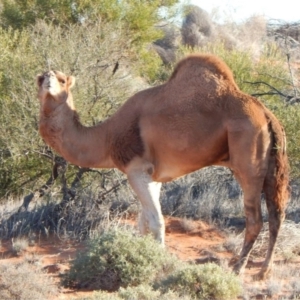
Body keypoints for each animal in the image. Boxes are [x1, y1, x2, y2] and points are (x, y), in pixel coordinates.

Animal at [36, 53, 290, 278]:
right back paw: (263, 271)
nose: (48, 82)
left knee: (255, 218)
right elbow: (144, 222)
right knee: (277, 214)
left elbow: (156, 221)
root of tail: (266, 114)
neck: (107, 138)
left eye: (61, 80)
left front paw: (157, 262)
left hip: (247, 159)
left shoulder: (137, 170)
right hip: (272, 165)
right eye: (39, 78)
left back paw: (238, 268)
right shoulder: (154, 177)